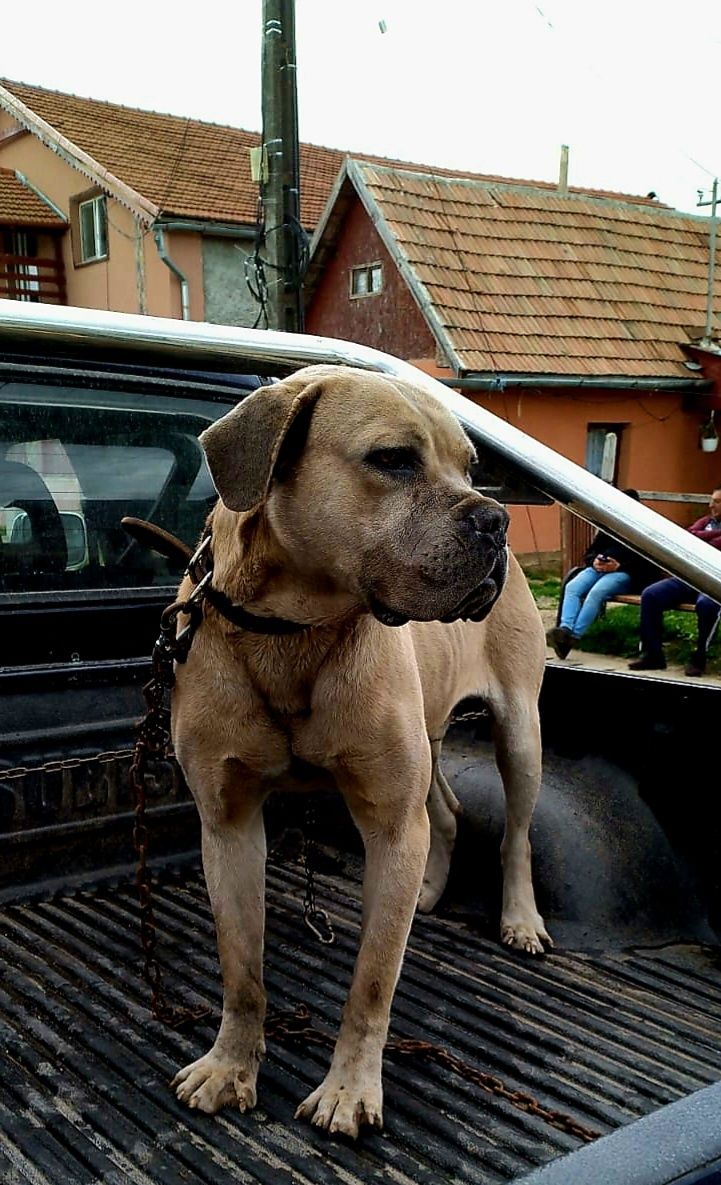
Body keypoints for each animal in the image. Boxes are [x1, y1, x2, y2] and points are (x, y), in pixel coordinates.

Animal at [170, 362, 552, 1137]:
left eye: (469, 466)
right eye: (393, 460)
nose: (494, 520)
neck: (293, 630)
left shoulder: (389, 821)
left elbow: (372, 980)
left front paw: (349, 1089)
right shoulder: (227, 822)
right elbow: (241, 967)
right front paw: (231, 1064)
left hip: (520, 732)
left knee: (515, 834)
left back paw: (519, 918)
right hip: (428, 743)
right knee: (446, 814)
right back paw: (428, 891)